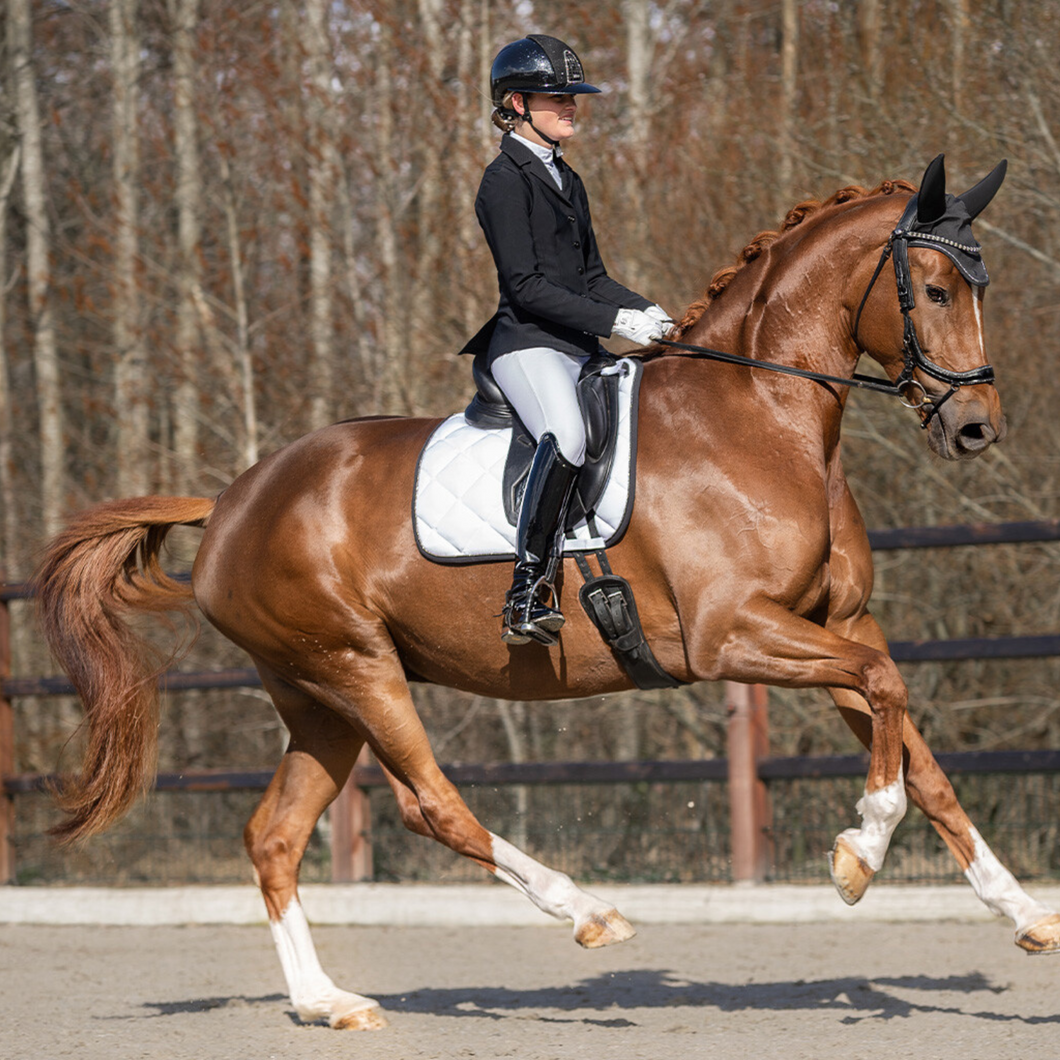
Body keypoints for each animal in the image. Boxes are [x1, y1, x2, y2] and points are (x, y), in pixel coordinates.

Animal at [35, 156, 1060, 1026]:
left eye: (979, 288)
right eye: (935, 289)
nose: (976, 428)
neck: (762, 417)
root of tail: (231, 501)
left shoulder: (837, 623)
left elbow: (917, 750)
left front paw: (1022, 914)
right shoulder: (733, 635)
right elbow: (889, 706)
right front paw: (858, 855)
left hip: (316, 697)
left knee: (274, 836)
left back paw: (329, 1002)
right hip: (356, 667)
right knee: (430, 805)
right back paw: (587, 913)